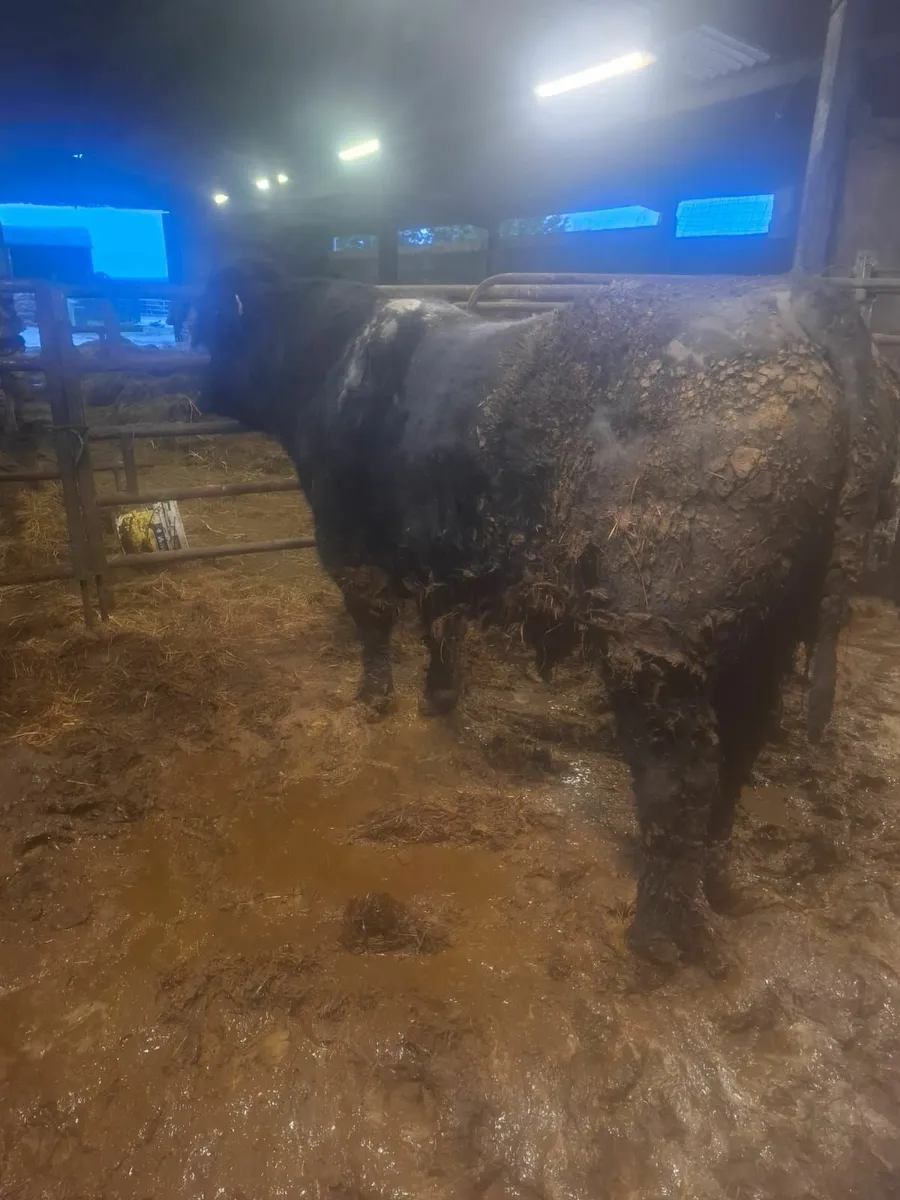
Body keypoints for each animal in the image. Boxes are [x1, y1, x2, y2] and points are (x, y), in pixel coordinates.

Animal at [193, 264, 900, 974]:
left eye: (213, 324)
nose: (195, 385)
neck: (335, 354)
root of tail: (793, 298)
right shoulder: (444, 553)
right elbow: (440, 626)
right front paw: (438, 697)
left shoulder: (346, 537)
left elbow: (373, 621)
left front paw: (372, 699)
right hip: (770, 632)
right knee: (741, 747)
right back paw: (718, 884)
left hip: (656, 641)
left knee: (679, 776)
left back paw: (656, 937)